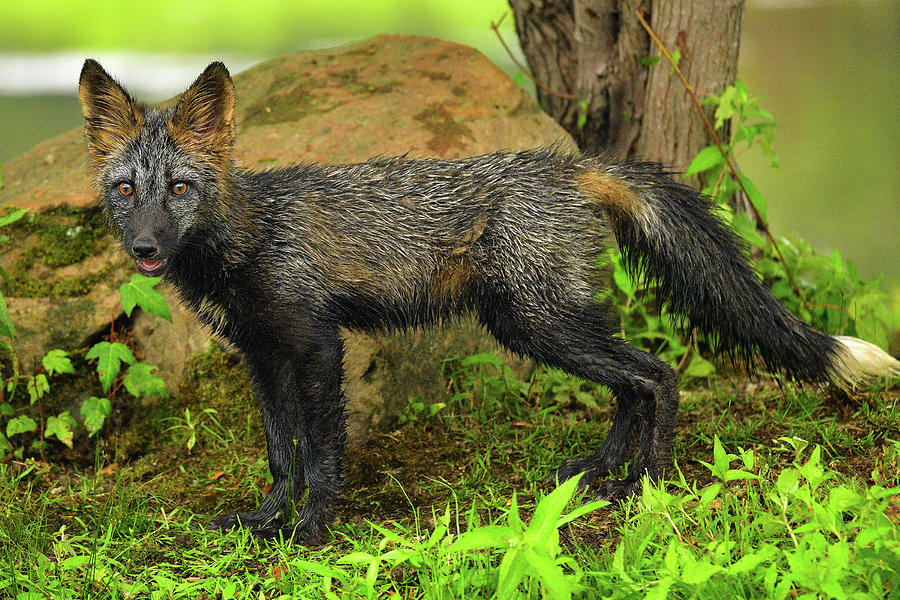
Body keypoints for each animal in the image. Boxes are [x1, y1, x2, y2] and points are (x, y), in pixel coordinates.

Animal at [79, 59, 900, 544]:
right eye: (126, 190)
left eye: (178, 188)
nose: (145, 248)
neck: (247, 241)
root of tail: (570, 163)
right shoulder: (261, 353)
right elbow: (283, 455)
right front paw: (262, 522)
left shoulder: (314, 344)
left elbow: (323, 453)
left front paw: (312, 531)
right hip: (535, 323)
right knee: (632, 385)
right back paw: (599, 474)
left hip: (539, 322)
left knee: (657, 374)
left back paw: (647, 486)